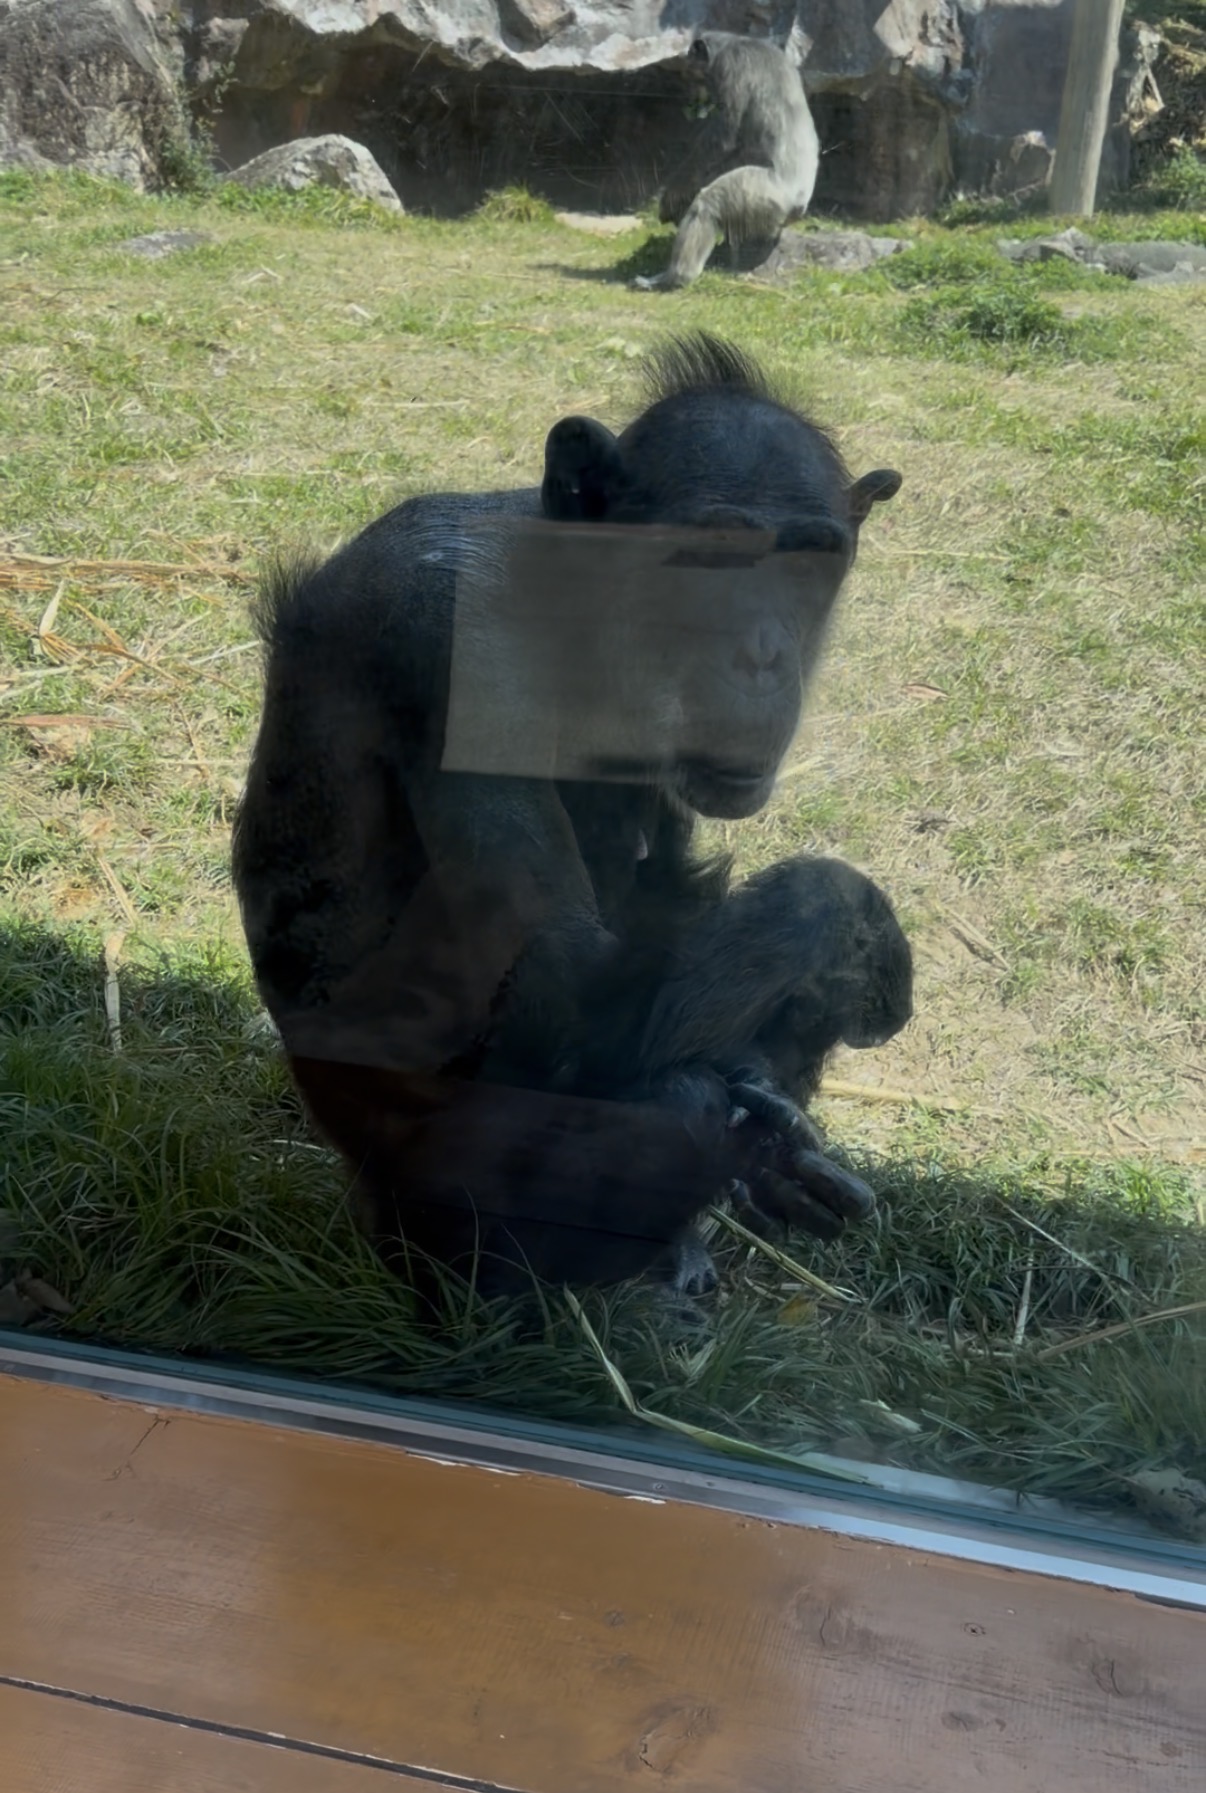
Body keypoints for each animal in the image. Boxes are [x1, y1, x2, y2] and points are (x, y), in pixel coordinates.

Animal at [232, 334, 904, 1309]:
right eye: (711, 559)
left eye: (809, 564)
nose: (762, 652)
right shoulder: (450, 642)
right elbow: (564, 982)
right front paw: (850, 919)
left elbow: (665, 891)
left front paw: (783, 1156)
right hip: (439, 1208)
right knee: (676, 1105)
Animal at [633, 34, 820, 292]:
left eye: (693, 72)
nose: (697, 92)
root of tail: (799, 206)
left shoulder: (731, 68)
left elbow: (722, 139)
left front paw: (672, 195)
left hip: (762, 194)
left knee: (707, 207)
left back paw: (675, 276)